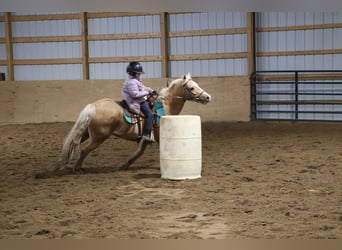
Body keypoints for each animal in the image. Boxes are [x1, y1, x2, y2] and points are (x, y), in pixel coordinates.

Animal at [55, 71, 211, 171]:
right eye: (192, 87)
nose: (208, 97)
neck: (165, 106)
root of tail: (93, 106)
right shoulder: (157, 135)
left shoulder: (146, 138)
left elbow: (139, 152)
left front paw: (125, 165)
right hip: (99, 137)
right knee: (83, 150)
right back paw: (77, 168)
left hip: (86, 133)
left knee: (73, 144)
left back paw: (61, 164)